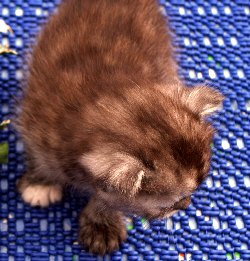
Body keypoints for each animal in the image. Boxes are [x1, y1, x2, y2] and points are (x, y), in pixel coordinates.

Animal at [18, 0, 224, 254]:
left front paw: (102, 223)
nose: (186, 204)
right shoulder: (36, 125)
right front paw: (40, 183)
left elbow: (106, 199)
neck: (97, 101)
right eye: (170, 204)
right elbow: (39, 158)